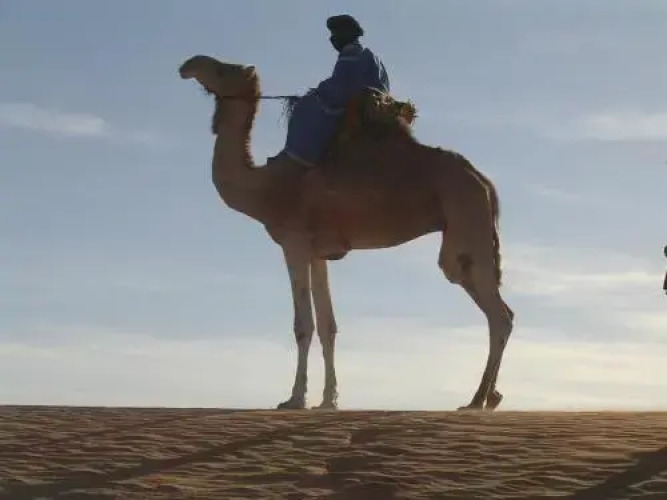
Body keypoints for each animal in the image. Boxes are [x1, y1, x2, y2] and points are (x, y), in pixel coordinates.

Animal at [178, 55, 515, 411]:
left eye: (222, 69)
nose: (187, 65)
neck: (266, 187)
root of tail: (485, 182)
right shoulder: (318, 251)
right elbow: (328, 325)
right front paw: (328, 400)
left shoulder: (293, 242)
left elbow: (303, 324)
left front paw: (294, 399)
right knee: (498, 312)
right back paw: (488, 397)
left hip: (465, 222)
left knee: (498, 313)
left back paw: (478, 399)